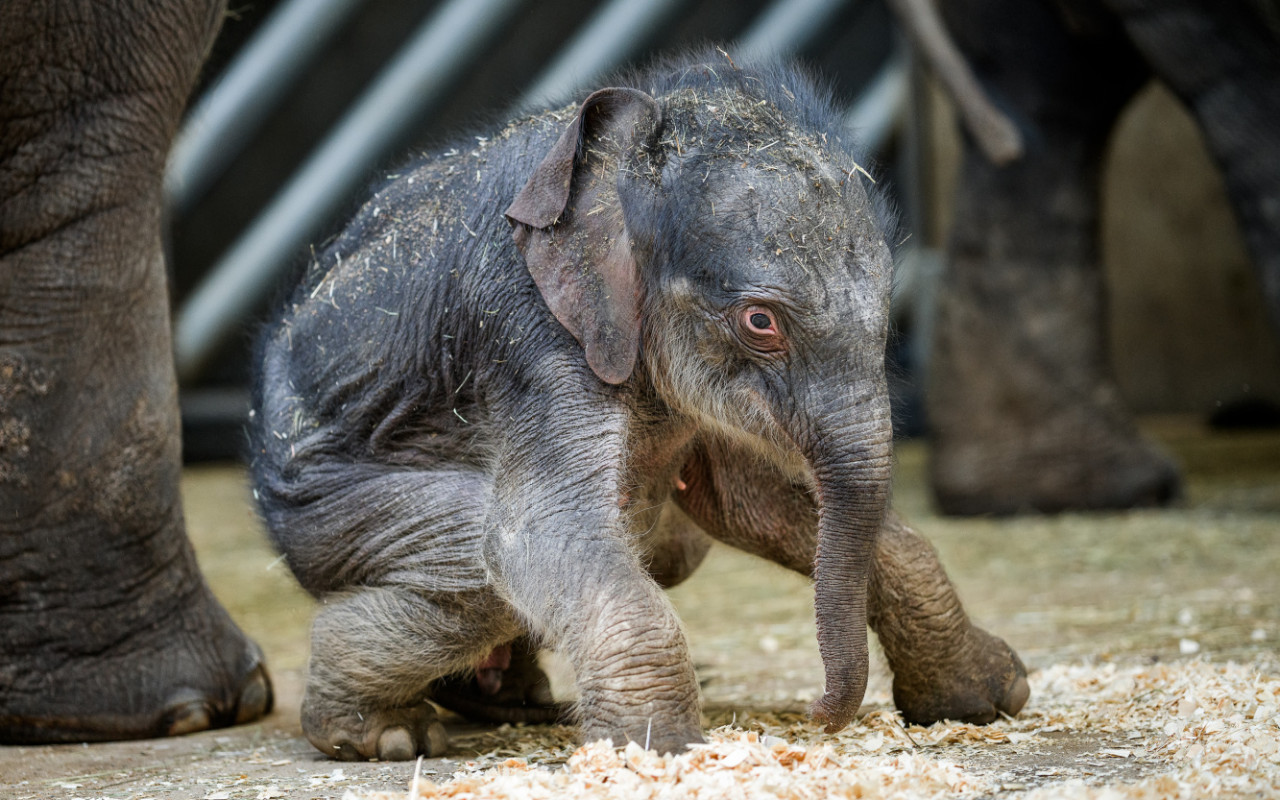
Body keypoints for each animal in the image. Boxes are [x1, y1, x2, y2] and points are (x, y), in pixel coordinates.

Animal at [252, 51, 1029, 762]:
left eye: (888, 318)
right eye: (760, 322)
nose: (816, 714)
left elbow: (757, 502)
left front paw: (992, 696)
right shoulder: (528, 330)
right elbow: (537, 532)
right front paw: (660, 752)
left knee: (666, 547)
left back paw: (503, 700)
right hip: (324, 517)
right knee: (473, 573)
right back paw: (383, 731)